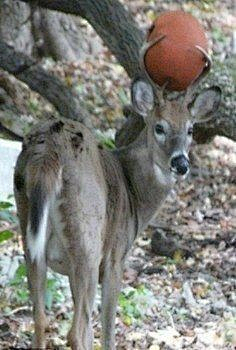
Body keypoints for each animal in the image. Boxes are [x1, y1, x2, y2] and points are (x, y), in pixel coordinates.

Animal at [13, 37, 220, 348]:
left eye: (190, 129)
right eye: (159, 127)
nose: (181, 163)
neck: (133, 191)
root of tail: (49, 150)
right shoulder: (114, 257)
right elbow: (107, 329)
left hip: (30, 237)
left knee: (40, 320)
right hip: (87, 240)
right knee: (77, 330)